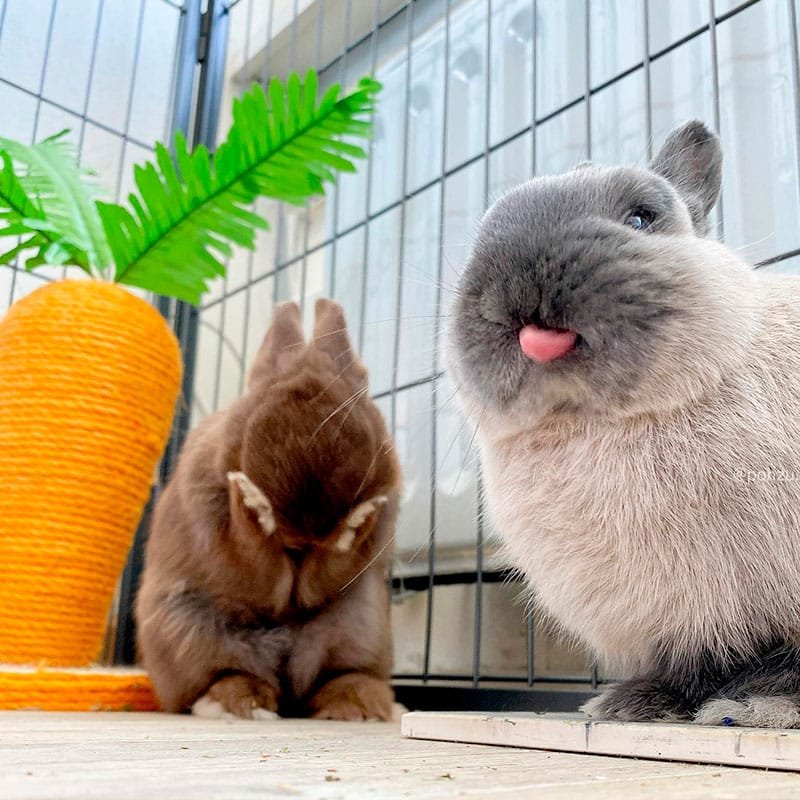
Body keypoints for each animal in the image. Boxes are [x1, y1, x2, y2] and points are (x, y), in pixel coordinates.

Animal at [135, 298, 401, 721]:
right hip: (185, 632)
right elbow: (256, 564)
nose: (307, 531)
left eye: (359, 391)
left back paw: (358, 706)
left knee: (340, 676)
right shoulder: (220, 539)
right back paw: (239, 705)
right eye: (262, 395)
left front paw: (356, 519)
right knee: (219, 678)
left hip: (363, 626)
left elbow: (320, 578)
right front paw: (252, 501)